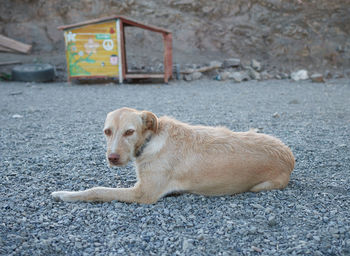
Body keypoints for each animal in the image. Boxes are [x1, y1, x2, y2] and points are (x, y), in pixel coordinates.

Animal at [50, 107, 294, 204]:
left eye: (129, 132)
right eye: (107, 132)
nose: (113, 158)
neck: (150, 140)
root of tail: (289, 155)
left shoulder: (143, 194)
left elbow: (97, 190)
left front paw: (64, 194)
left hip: (260, 186)